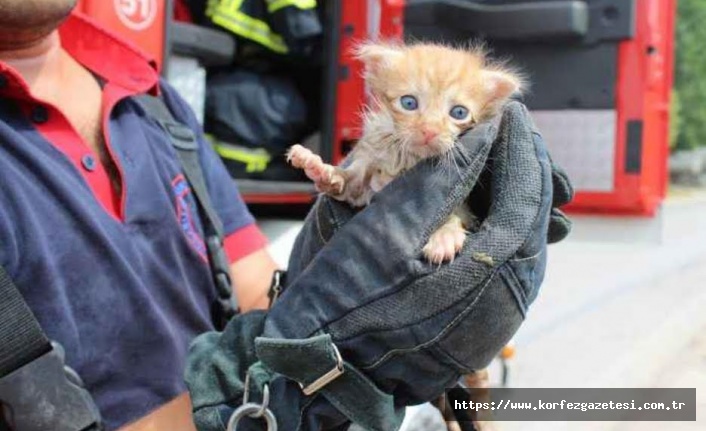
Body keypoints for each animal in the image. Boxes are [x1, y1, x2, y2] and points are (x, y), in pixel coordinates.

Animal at [288, 42, 524, 264]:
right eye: (409, 102)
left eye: (459, 112)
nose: (429, 130)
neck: (407, 159)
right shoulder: (362, 187)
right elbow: (346, 182)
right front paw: (319, 167)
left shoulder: (464, 206)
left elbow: (453, 212)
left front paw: (444, 236)